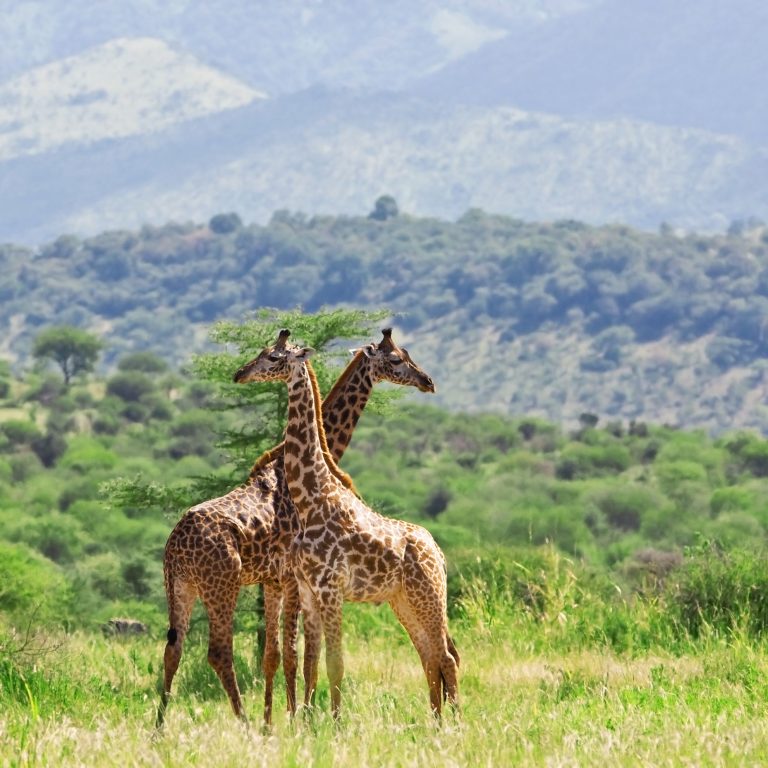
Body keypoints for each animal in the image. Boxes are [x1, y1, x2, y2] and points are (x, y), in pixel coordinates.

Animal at [157, 326, 436, 728]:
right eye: (397, 359)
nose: (427, 381)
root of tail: (174, 544)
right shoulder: (290, 577)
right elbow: (295, 654)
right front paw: (292, 719)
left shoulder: (273, 580)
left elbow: (276, 655)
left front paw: (278, 721)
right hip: (221, 585)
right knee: (219, 652)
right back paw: (243, 724)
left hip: (179, 586)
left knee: (173, 649)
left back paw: (159, 729)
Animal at [234, 330, 460, 720]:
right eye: (263, 353)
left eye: (274, 357)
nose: (240, 373)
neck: (311, 499)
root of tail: (438, 551)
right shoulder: (308, 589)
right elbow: (312, 661)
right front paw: (307, 721)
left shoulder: (328, 589)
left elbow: (331, 663)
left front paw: (333, 724)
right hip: (404, 600)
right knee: (431, 658)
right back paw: (437, 725)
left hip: (427, 596)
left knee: (445, 657)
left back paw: (455, 724)